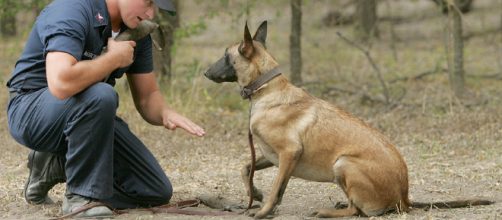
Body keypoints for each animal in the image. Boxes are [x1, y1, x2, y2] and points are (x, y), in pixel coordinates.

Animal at [204, 20, 494, 218]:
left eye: (226, 55)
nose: (205, 72)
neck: (268, 89)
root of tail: (404, 197)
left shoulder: (288, 152)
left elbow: (275, 187)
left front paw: (262, 210)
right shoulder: (274, 156)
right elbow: (248, 170)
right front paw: (257, 196)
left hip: (342, 164)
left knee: (358, 211)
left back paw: (328, 212)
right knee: (356, 206)